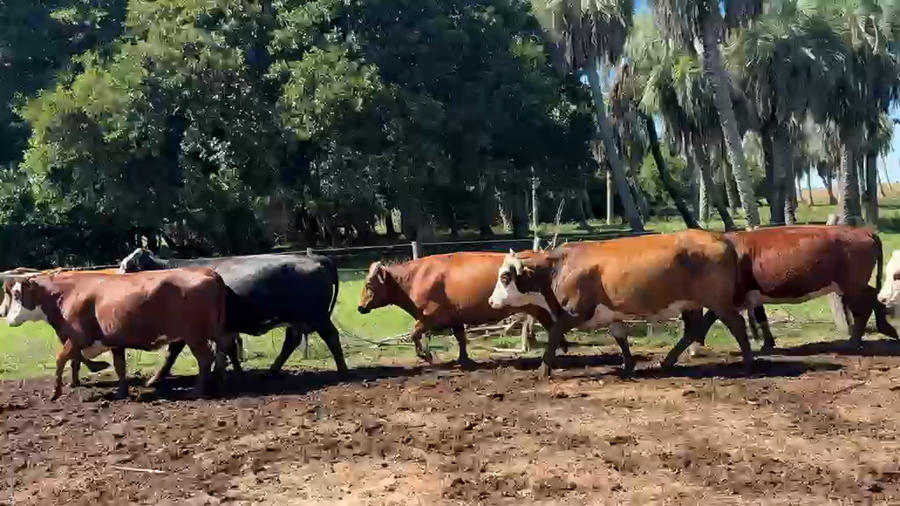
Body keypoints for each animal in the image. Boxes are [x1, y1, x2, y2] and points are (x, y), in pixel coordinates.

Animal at [2, 268, 230, 400]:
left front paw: (56, 392)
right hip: (214, 330)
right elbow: (118, 366)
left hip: (194, 335)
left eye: (16, 294)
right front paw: (121, 391)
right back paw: (219, 381)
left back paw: (198, 391)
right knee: (224, 347)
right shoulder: (113, 340)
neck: (68, 292)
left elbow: (62, 359)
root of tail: (209, 272)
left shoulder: (77, 337)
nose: (7, 318)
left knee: (205, 358)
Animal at [118, 248, 348, 385]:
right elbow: (229, 349)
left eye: (126, 266)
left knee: (331, 337)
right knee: (291, 341)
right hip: (297, 319)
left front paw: (154, 381)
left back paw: (343, 371)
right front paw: (235, 373)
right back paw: (271, 372)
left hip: (317, 316)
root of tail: (314, 258)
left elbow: (172, 353)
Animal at [357, 252, 564, 367]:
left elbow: (414, 334)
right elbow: (461, 339)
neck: (416, 277)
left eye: (369, 284)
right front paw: (463, 360)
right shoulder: (454, 318)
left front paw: (426, 355)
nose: (360, 307)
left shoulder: (431, 316)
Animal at [488, 230, 753, 378]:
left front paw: (543, 370)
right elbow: (620, 337)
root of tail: (721, 238)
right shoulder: (611, 314)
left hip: (718, 302)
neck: (560, 266)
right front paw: (628, 366)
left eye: (505, 277)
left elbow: (553, 334)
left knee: (737, 325)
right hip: (691, 303)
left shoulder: (574, 311)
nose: (491, 301)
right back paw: (666, 362)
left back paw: (748, 363)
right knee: (693, 330)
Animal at [691, 225, 897, 355]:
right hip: (853, 284)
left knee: (864, 306)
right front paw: (768, 344)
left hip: (853, 283)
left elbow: (707, 320)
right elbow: (759, 315)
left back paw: (855, 341)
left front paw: (694, 348)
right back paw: (886, 330)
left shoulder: (727, 298)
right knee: (874, 297)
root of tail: (864, 231)